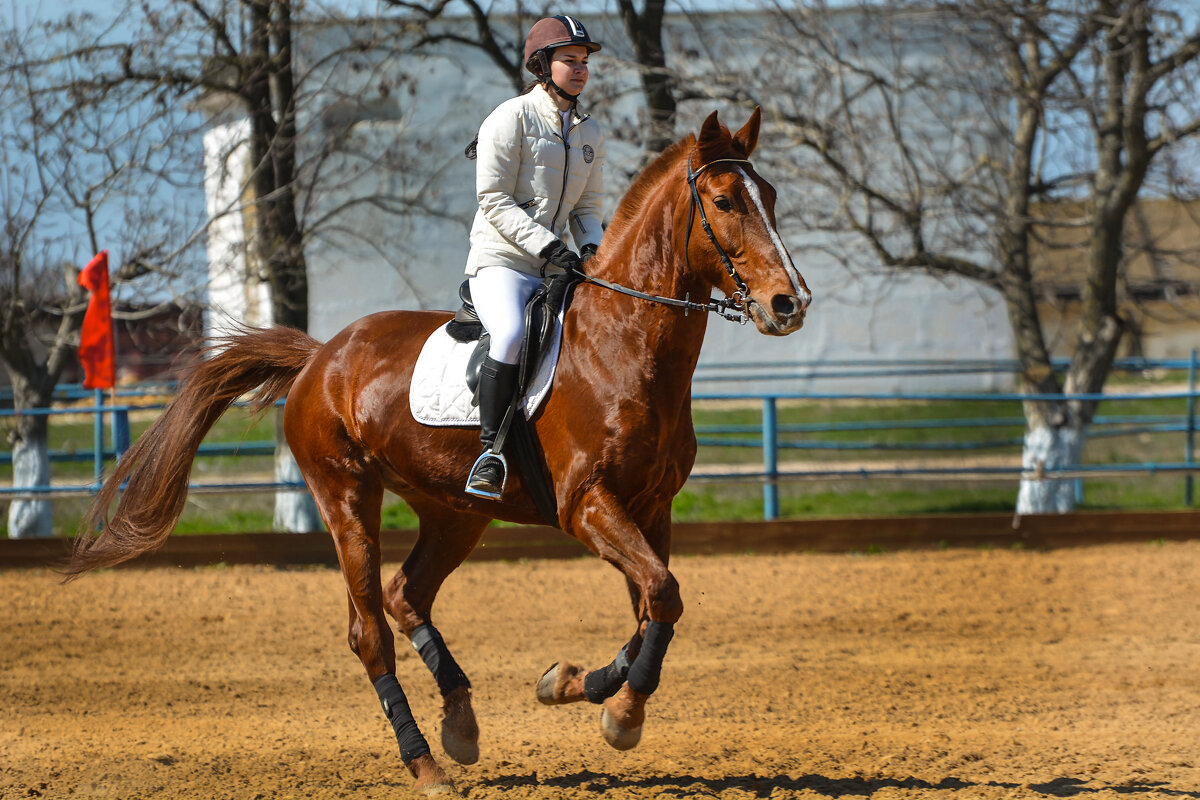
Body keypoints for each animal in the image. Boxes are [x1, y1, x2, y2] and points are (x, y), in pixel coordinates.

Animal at [68, 106, 816, 796]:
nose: (790, 304)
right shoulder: (587, 505)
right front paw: (622, 714)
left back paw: (460, 721)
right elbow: (660, 593)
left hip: (455, 511)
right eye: (724, 201)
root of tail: (321, 357)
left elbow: (653, 607)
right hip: (346, 497)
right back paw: (423, 761)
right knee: (370, 630)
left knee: (407, 595)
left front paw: (573, 683)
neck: (624, 343)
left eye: (772, 194)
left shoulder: (651, 509)